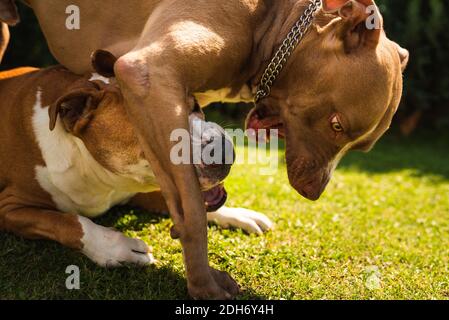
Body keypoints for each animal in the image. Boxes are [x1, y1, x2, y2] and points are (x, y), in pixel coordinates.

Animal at [0, 62, 272, 268]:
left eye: (195, 105)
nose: (223, 150)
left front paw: (237, 214)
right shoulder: (9, 208)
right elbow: (71, 222)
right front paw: (118, 248)